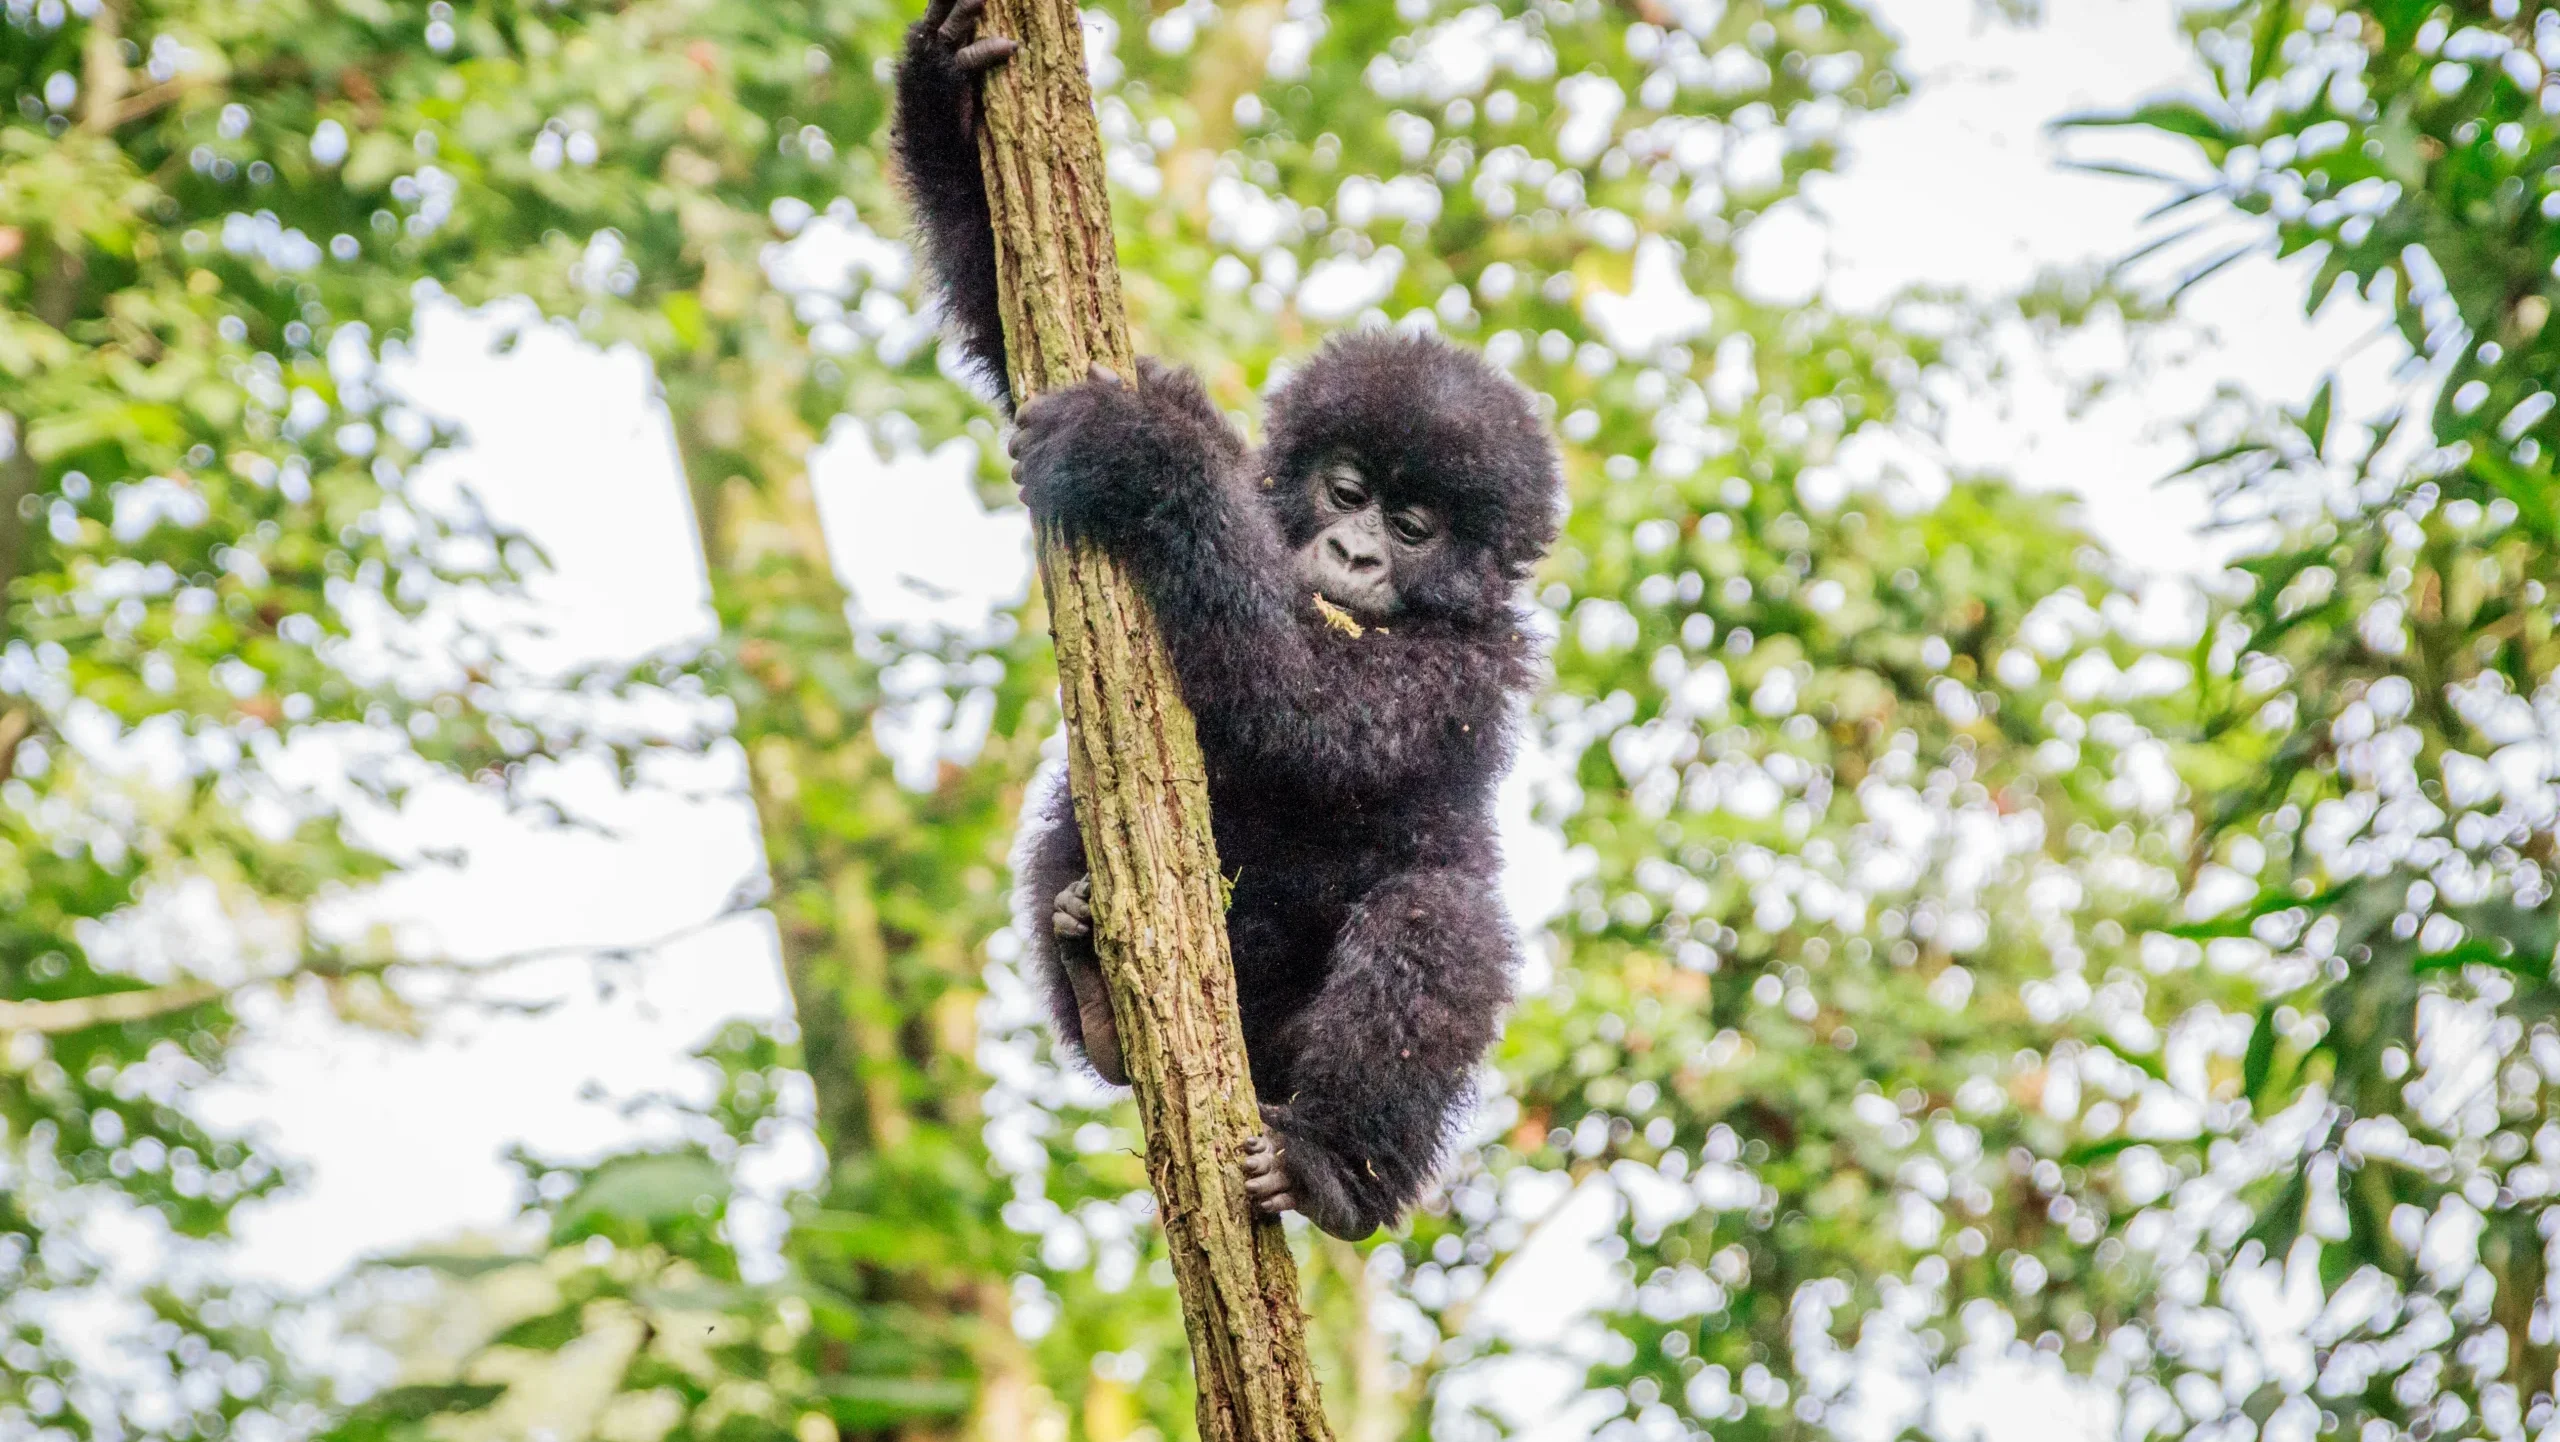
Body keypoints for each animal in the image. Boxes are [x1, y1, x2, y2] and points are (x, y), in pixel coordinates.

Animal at [896, 0, 1562, 1239]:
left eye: (1414, 524)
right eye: (1346, 490)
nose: (1353, 553)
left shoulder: (1472, 664)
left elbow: (1307, 707)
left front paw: (1137, 457)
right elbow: (1005, 319)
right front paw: (943, 81)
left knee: (1442, 920)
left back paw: (1333, 1167)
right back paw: (1101, 1008)